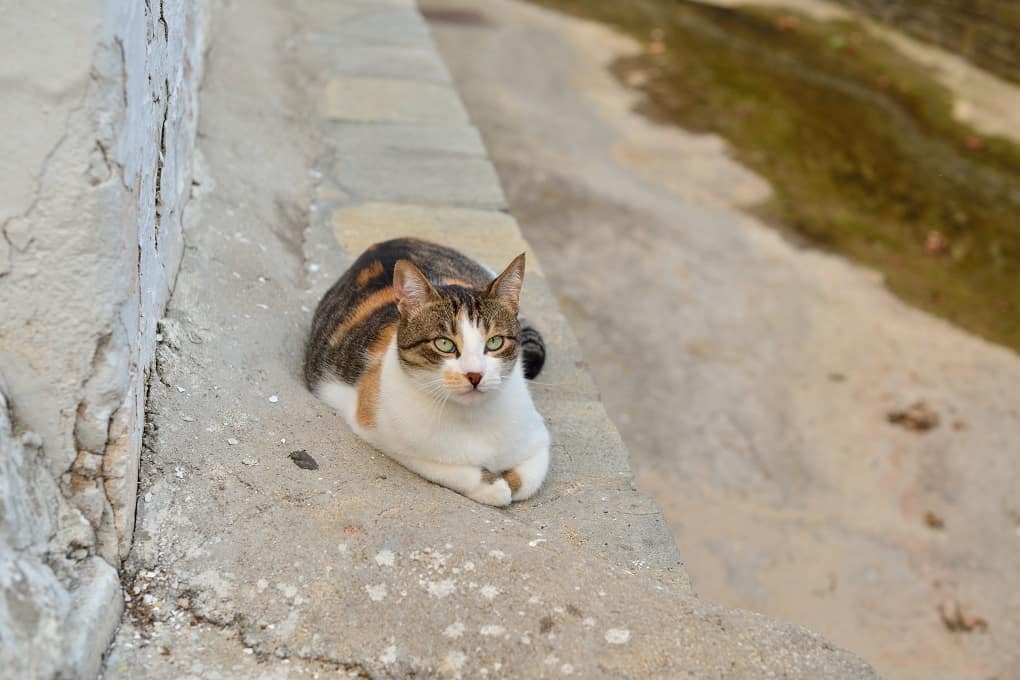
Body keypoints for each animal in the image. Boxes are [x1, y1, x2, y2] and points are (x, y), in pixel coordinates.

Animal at [303, 236, 550, 507]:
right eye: (444, 344)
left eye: (495, 342)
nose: (475, 375)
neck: (472, 418)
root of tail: (387, 242)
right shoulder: (382, 432)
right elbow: (456, 472)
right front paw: (493, 486)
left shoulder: (539, 438)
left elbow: (527, 481)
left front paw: (509, 481)